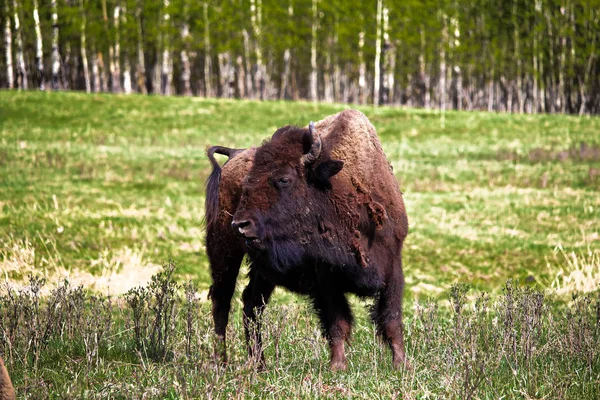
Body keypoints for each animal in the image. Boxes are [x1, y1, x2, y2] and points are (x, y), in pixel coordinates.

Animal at [205, 109, 408, 372]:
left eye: (284, 179)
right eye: (249, 179)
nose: (240, 224)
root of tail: (233, 155)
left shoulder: (392, 264)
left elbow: (391, 319)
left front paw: (401, 364)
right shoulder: (327, 279)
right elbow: (337, 322)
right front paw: (338, 366)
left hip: (261, 269)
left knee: (252, 304)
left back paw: (260, 364)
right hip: (223, 250)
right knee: (222, 301)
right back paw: (220, 362)